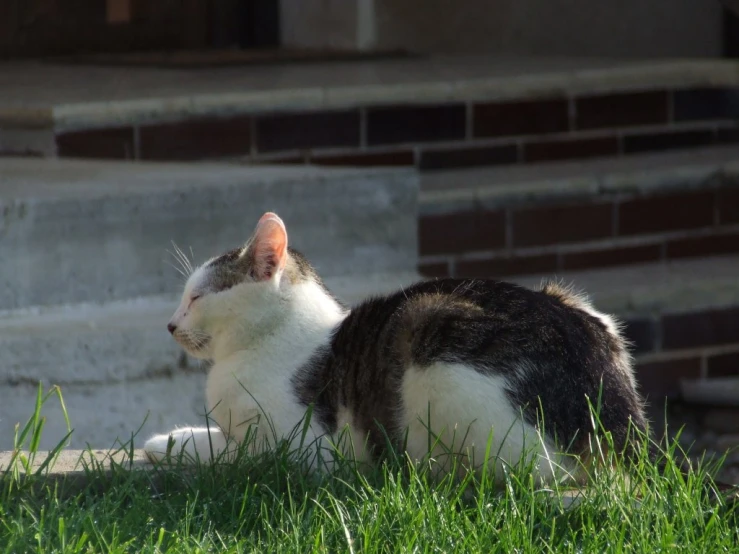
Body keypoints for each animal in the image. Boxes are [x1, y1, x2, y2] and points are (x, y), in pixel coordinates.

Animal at [145, 211, 648, 484]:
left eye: (196, 298)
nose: (170, 325)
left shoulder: (305, 450)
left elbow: (237, 453)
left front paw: (174, 443)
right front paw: (169, 437)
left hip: (430, 333)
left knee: (534, 473)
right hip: (576, 300)